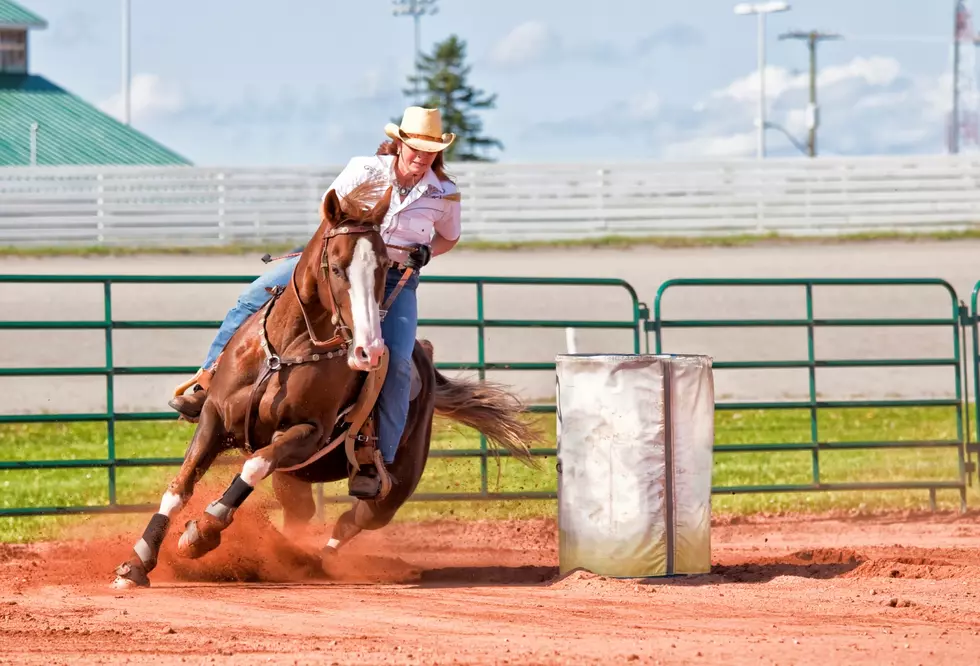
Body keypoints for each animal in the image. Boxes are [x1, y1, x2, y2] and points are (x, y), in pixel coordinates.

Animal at [114, 178, 548, 588]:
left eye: (383, 267)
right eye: (337, 267)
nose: (369, 350)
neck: (284, 351)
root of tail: (424, 356)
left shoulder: (308, 433)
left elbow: (254, 464)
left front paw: (202, 533)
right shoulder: (215, 419)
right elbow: (181, 485)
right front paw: (137, 563)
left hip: (393, 487)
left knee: (353, 519)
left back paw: (312, 561)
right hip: (295, 481)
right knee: (303, 515)